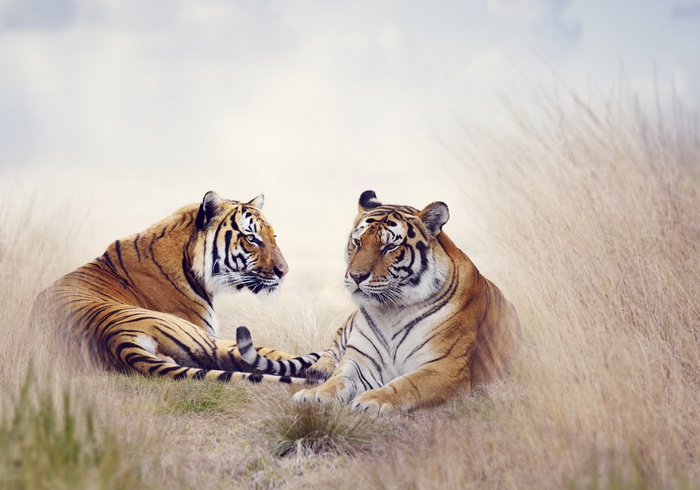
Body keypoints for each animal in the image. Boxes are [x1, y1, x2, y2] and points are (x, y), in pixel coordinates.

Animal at [235, 190, 522, 413]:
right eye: (357, 242)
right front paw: (315, 394)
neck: (391, 310)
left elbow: (406, 384)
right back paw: (319, 370)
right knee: (329, 352)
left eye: (390, 247)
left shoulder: (445, 368)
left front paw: (372, 401)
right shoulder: (360, 359)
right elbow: (339, 378)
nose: (356, 276)